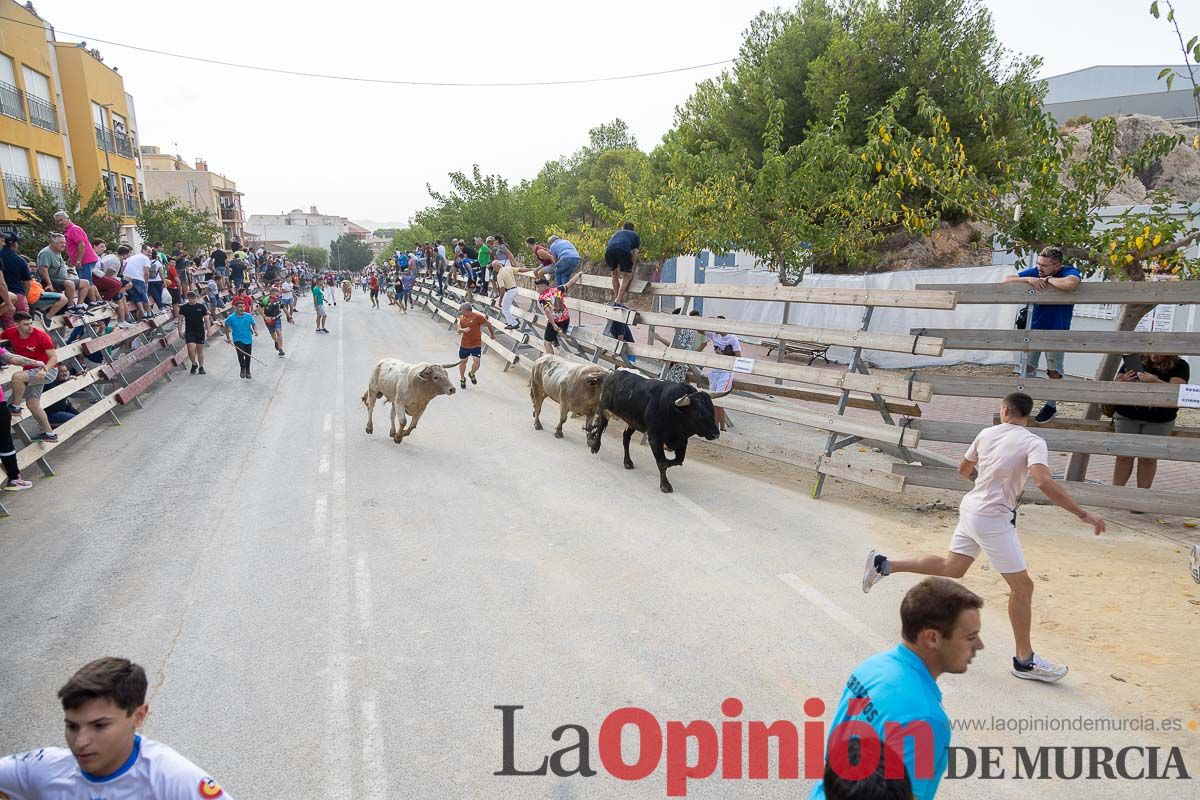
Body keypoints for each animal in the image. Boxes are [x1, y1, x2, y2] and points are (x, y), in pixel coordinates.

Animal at [588, 371, 720, 494]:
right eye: (698, 414)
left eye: (712, 411)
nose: (716, 434)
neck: (674, 411)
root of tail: (612, 374)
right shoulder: (655, 438)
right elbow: (661, 462)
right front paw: (665, 485)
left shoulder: (682, 441)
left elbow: (677, 460)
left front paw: (668, 463)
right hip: (604, 408)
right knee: (601, 427)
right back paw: (595, 446)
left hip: (632, 421)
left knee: (626, 437)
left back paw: (628, 462)